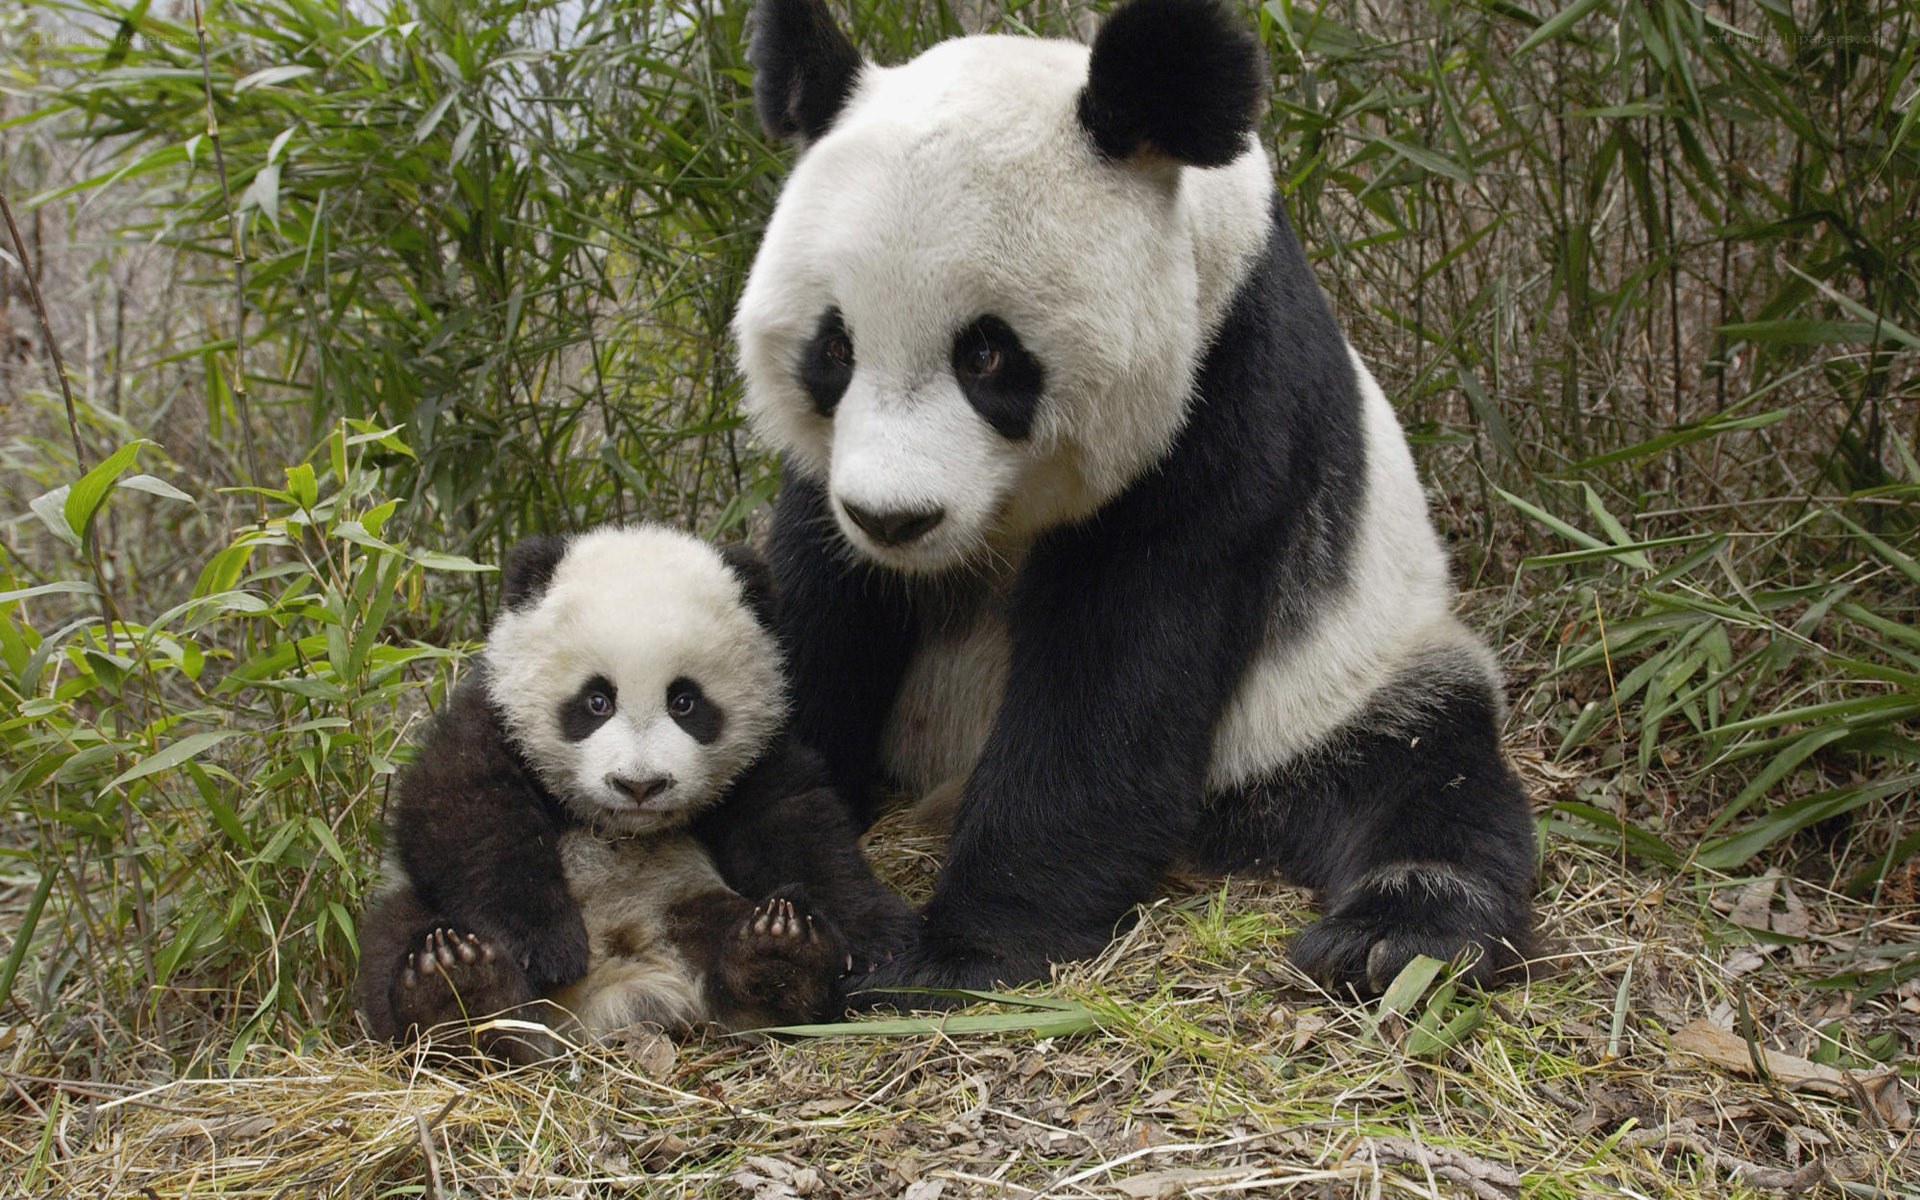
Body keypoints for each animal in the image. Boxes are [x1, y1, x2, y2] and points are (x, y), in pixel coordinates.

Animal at [355, 525, 913, 1061]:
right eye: (596, 700)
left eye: (685, 701)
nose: (640, 785)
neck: (621, 829)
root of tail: (614, 993)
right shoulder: (491, 717)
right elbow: (464, 812)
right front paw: (546, 946)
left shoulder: (759, 755)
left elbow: (797, 826)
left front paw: (879, 938)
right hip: (414, 912)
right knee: (395, 938)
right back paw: (457, 993)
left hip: (685, 901)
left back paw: (779, 957)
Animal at [734, 0, 1537, 999]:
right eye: (834, 349)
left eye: (986, 354)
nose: (894, 519)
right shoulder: (828, 485)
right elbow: (817, 613)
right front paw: (791, 898)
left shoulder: (1225, 393)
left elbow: (1120, 668)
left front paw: (956, 953)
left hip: (1340, 682)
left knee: (1427, 771)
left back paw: (1394, 935)